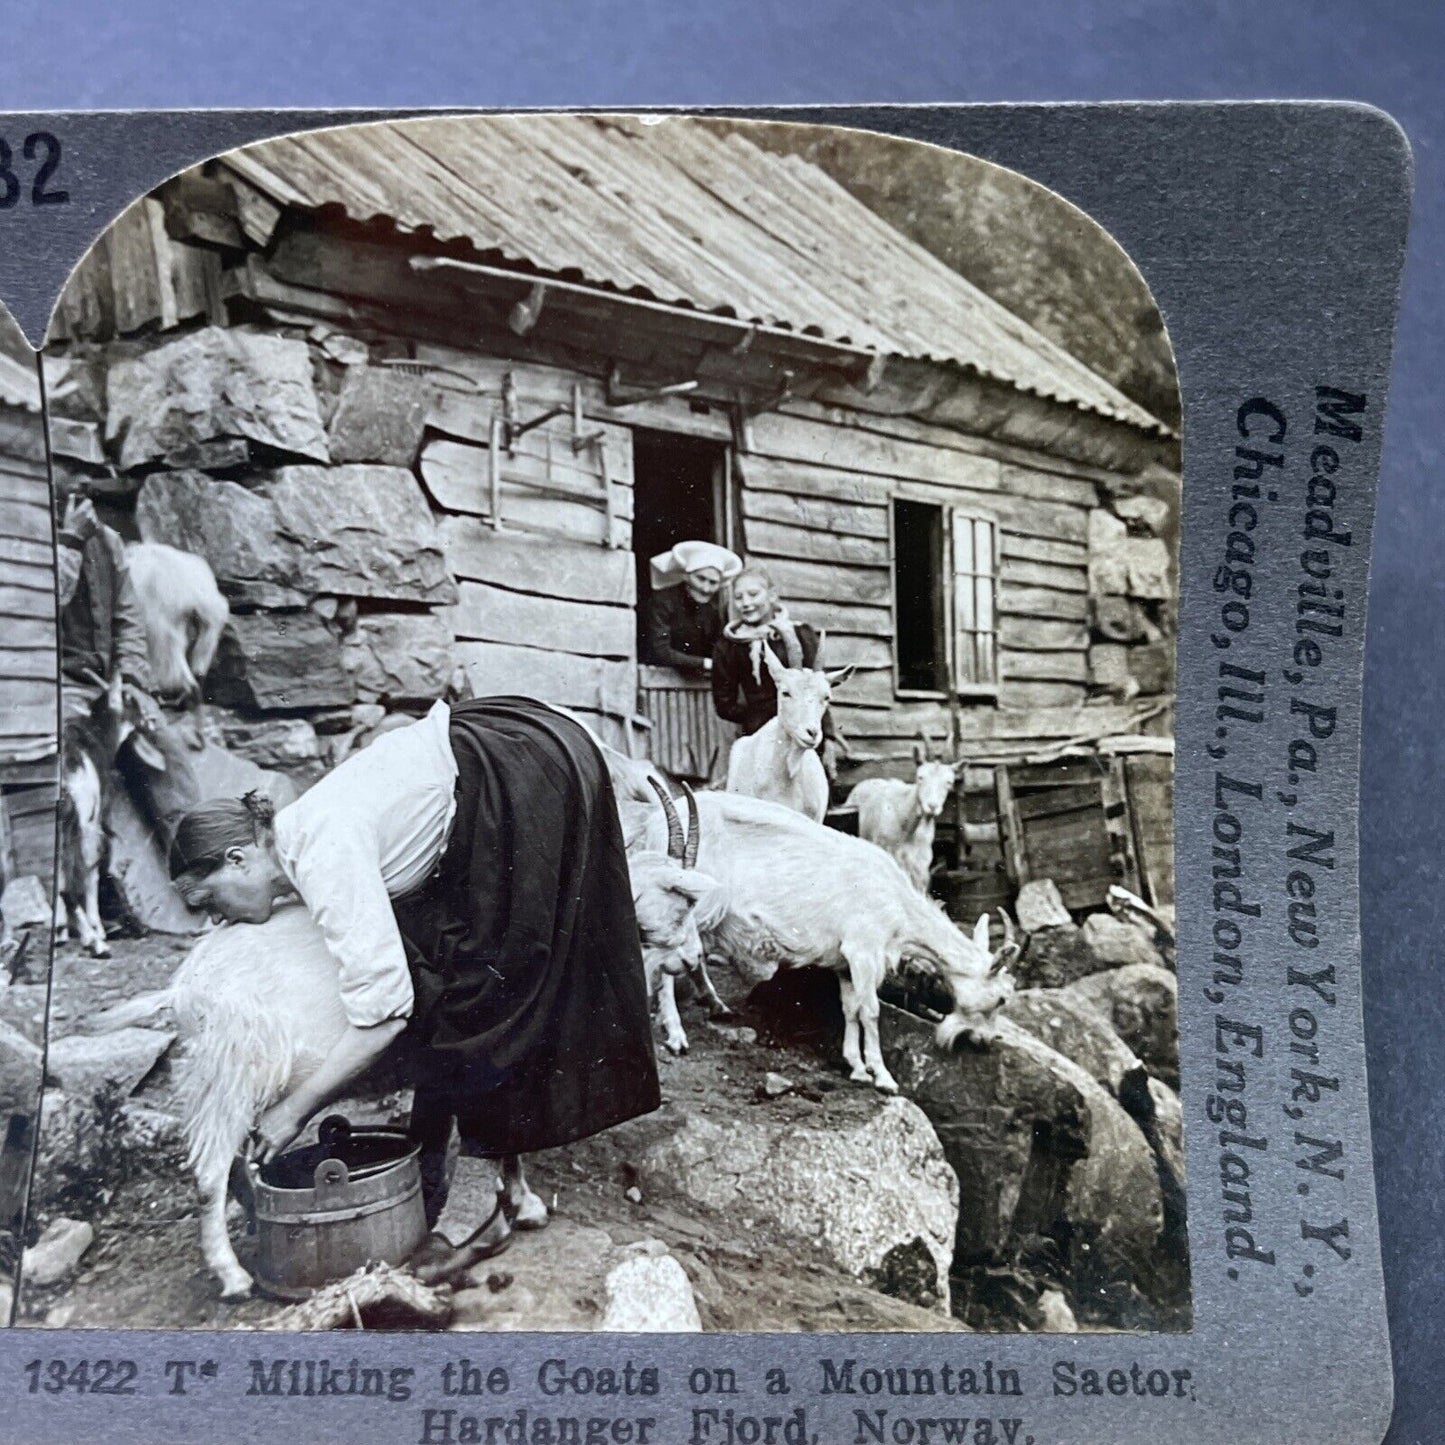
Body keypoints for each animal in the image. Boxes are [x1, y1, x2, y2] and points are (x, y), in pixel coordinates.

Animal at [627, 786, 1023, 1086]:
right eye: (1002, 998)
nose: (988, 1040)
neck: (897, 901)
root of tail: (653, 826)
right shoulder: (864, 951)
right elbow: (871, 1011)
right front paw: (882, 1076)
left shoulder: (845, 962)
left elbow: (850, 1008)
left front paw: (856, 1067)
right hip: (687, 906)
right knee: (670, 964)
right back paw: (676, 1034)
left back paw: (716, 1005)